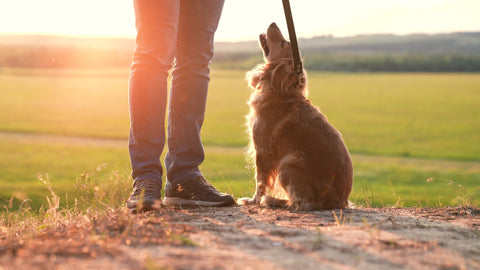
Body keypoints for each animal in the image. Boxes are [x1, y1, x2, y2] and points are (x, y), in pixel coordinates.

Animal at [237, 22, 352, 210]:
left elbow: (260, 181)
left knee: (301, 203)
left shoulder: (262, 150)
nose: (273, 23)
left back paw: (274, 201)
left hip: (288, 163)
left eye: (283, 43)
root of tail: (339, 201)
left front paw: (253, 201)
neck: (281, 92)